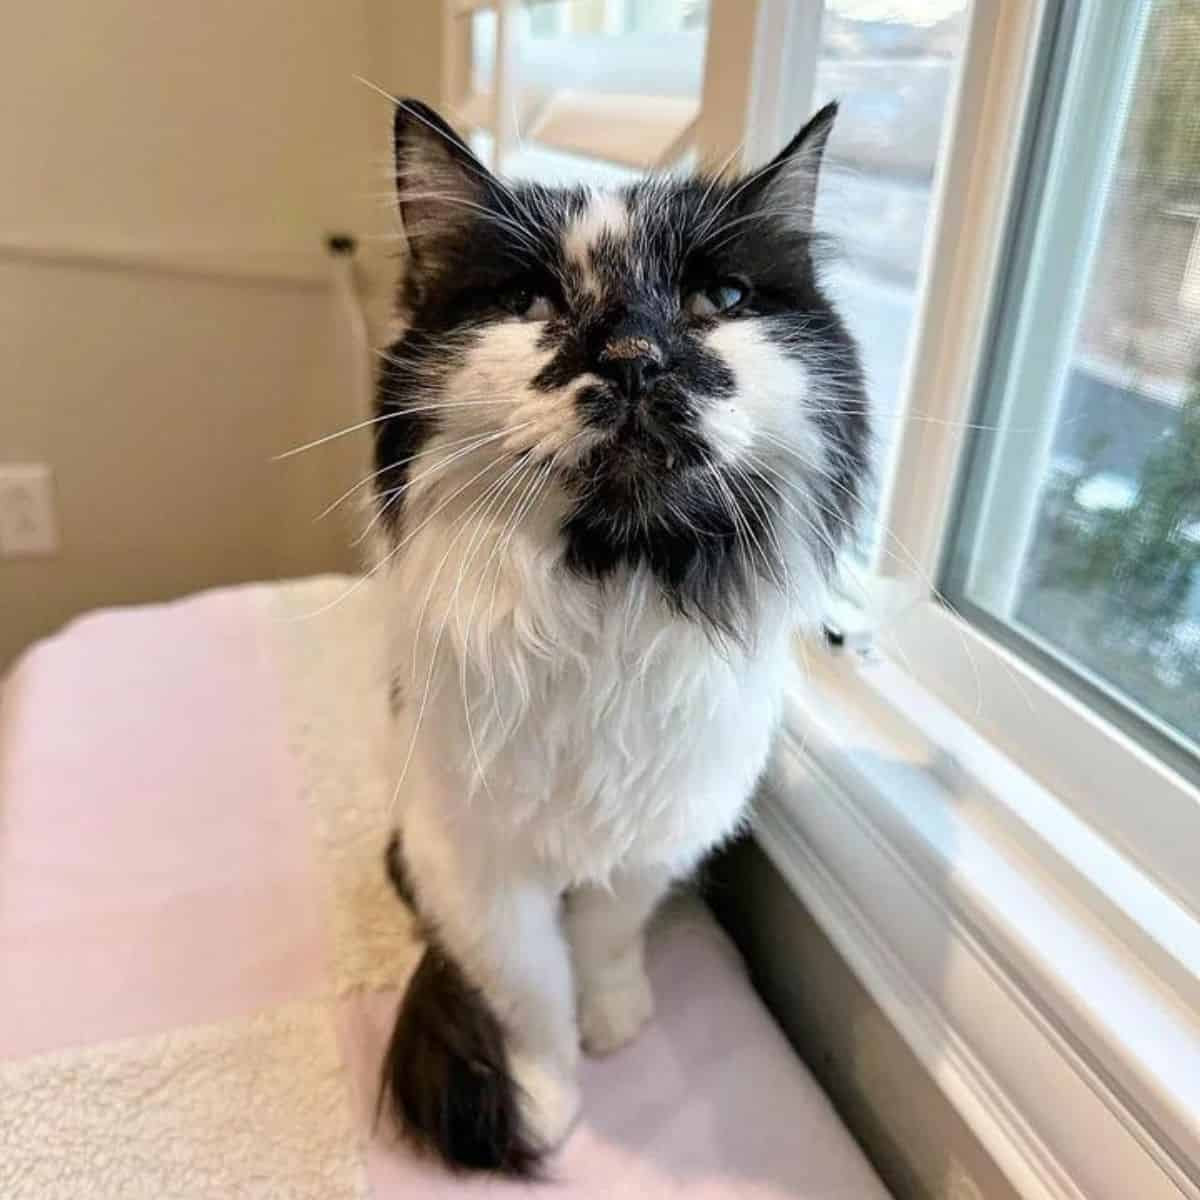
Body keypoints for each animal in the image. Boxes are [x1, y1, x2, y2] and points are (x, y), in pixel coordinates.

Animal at [369, 98, 868, 1176]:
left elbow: (602, 940)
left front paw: (616, 1020)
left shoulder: (657, 834)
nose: (636, 358)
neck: (608, 598)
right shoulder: (471, 861)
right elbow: (528, 988)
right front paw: (551, 1096)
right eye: (528, 299)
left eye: (721, 296)